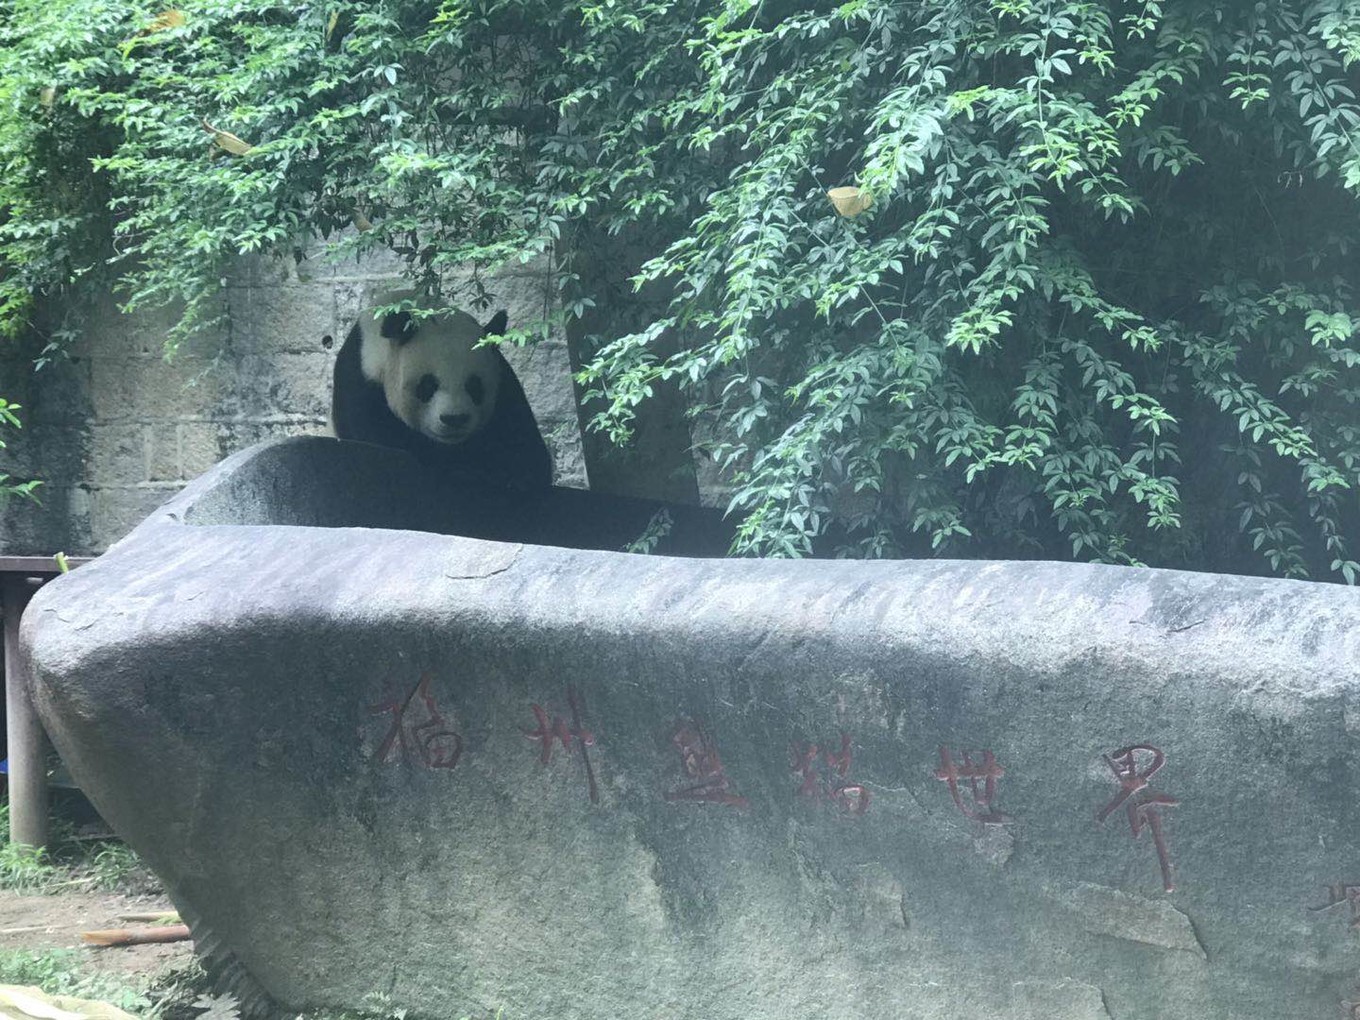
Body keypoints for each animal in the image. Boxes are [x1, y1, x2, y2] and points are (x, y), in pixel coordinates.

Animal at [330, 294, 553, 491]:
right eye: (428, 386)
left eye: (474, 386)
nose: (455, 419)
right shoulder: (361, 378)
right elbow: (384, 439)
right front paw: (464, 470)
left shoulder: (504, 381)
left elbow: (526, 445)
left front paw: (509, 476)